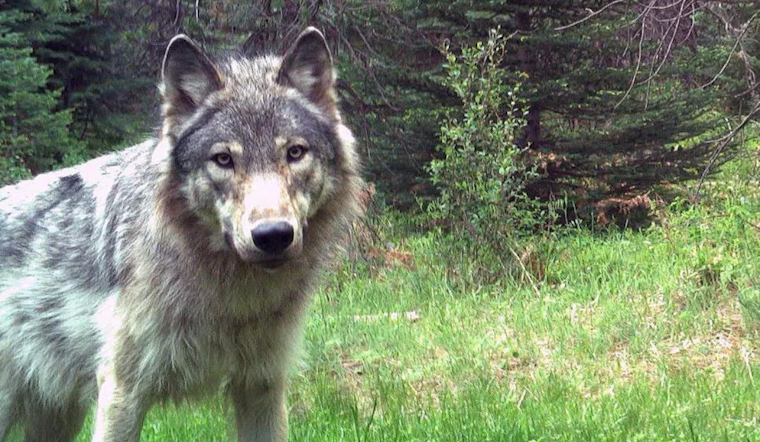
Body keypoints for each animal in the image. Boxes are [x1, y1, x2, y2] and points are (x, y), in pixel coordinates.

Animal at [0, 27, 362, 442]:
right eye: (223, 159)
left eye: (295, 153)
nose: (272, 235)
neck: (231, 298)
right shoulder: (123, 391)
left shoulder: (261, 385)